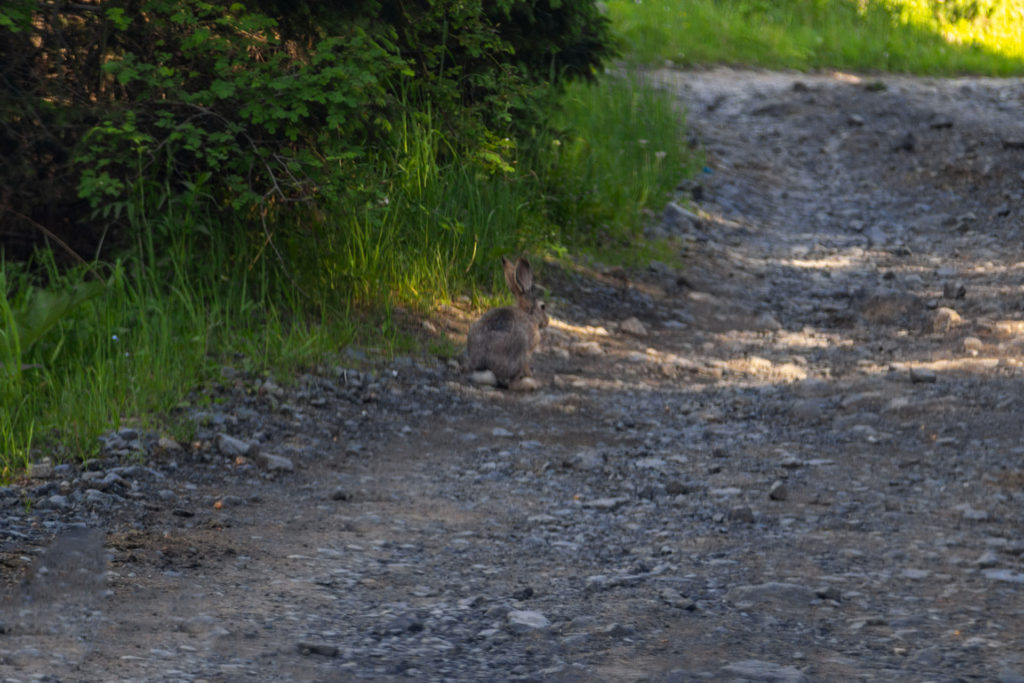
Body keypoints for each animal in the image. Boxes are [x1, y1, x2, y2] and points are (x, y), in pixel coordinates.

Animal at [466, 255, 548, 389]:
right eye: (543, 307)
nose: (547, 321)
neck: (528, 313)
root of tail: (486, 368)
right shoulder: (528, 350)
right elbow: (526, 364)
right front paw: (530, 373)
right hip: (520, 350)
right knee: (509, 383)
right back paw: (530, 383)